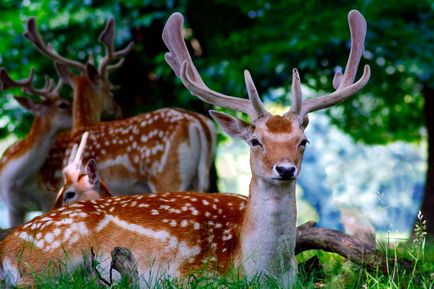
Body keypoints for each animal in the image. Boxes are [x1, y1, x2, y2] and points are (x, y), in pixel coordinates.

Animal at [25, 17, 217, 196]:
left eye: (112, 89)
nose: (117, 109)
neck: (81, 125)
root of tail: (200, 124)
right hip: (198, 179)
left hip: (167, 174)